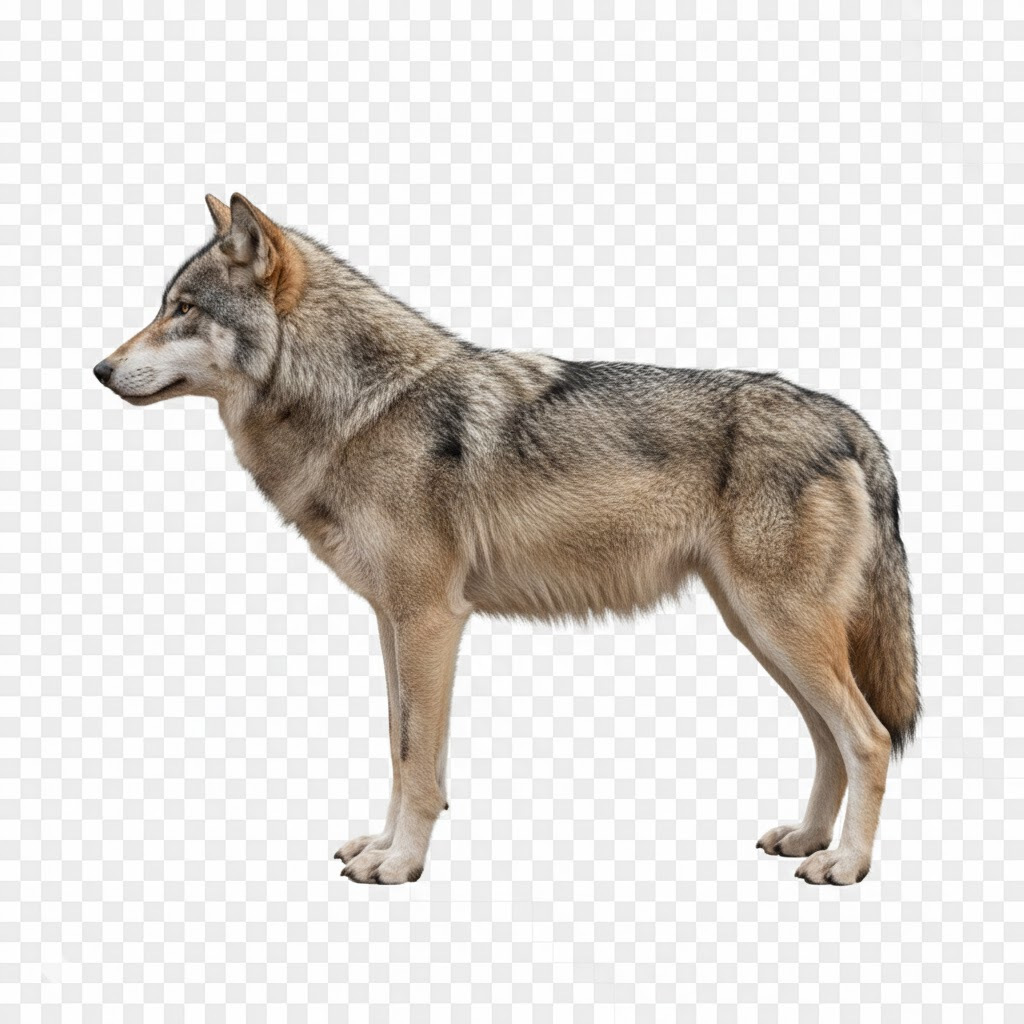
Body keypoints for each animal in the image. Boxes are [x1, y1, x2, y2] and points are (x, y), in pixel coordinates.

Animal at [94, 194, 919, 885]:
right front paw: (382, 846)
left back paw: (846, 864)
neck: (360, 409)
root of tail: (849, 420)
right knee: (829, 740)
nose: (100, 369)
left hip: (782, 629)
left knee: (869, 738)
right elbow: (400, 748)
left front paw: (399, 864)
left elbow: (414, 756)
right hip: (760, 631)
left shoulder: (430, 620)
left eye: (182, 309)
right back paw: (808, 839)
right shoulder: (394, 622)